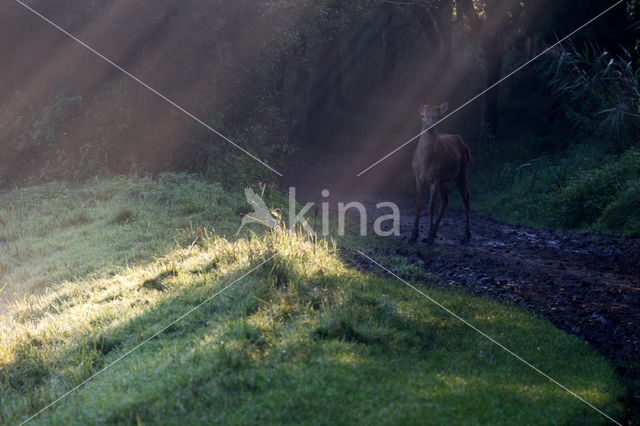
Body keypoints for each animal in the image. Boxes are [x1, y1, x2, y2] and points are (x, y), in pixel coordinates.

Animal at [410, 102, 470, 245]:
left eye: (437, 116)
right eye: (423, 115)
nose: (429, 127)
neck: (425, 164)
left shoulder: (435, 179)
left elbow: (430, 206)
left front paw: (429, 239)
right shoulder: (418, 177)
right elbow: (418, 204)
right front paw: (414, 236)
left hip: (461, 172)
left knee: (466, 199)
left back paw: (466, 235)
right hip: (443, 180)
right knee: (446, 200)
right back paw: (434, 232)